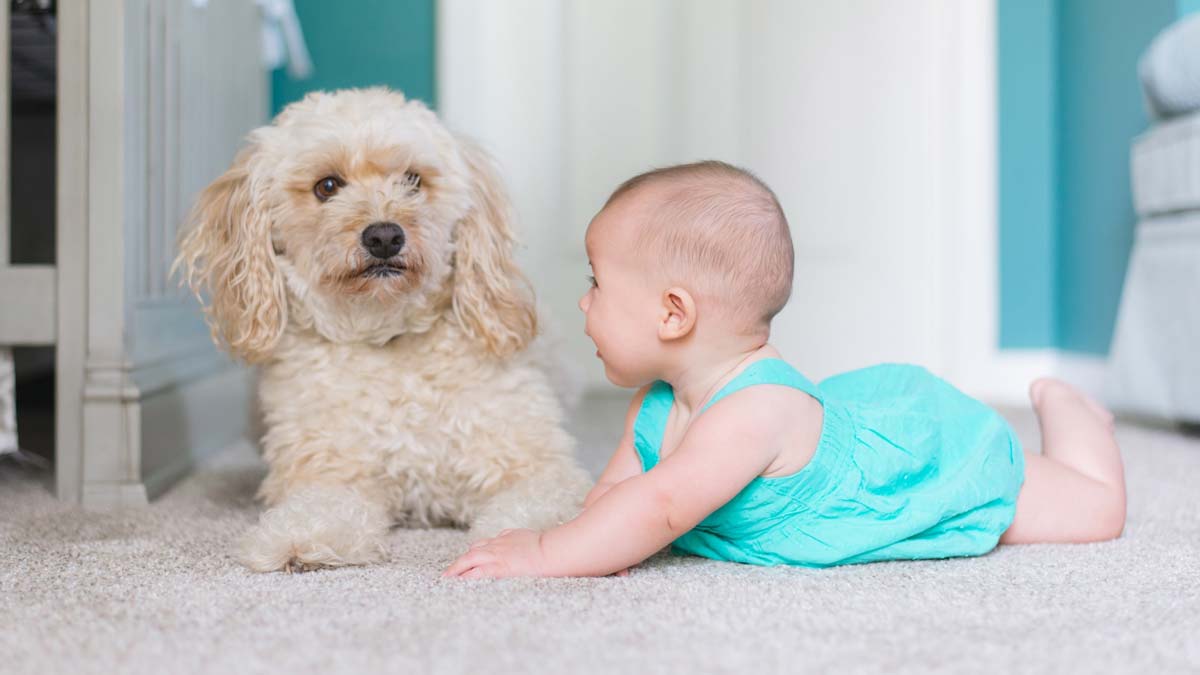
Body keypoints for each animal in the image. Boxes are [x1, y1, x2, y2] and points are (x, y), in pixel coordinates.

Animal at [175, 88, 590, 571]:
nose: (384, 237)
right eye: (327, 186)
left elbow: (538, 505)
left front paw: (524, 542)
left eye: (412, 180)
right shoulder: (330, 472)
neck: (387, 337)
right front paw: (300, 538)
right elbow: (321, 507)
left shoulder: (537, 466)